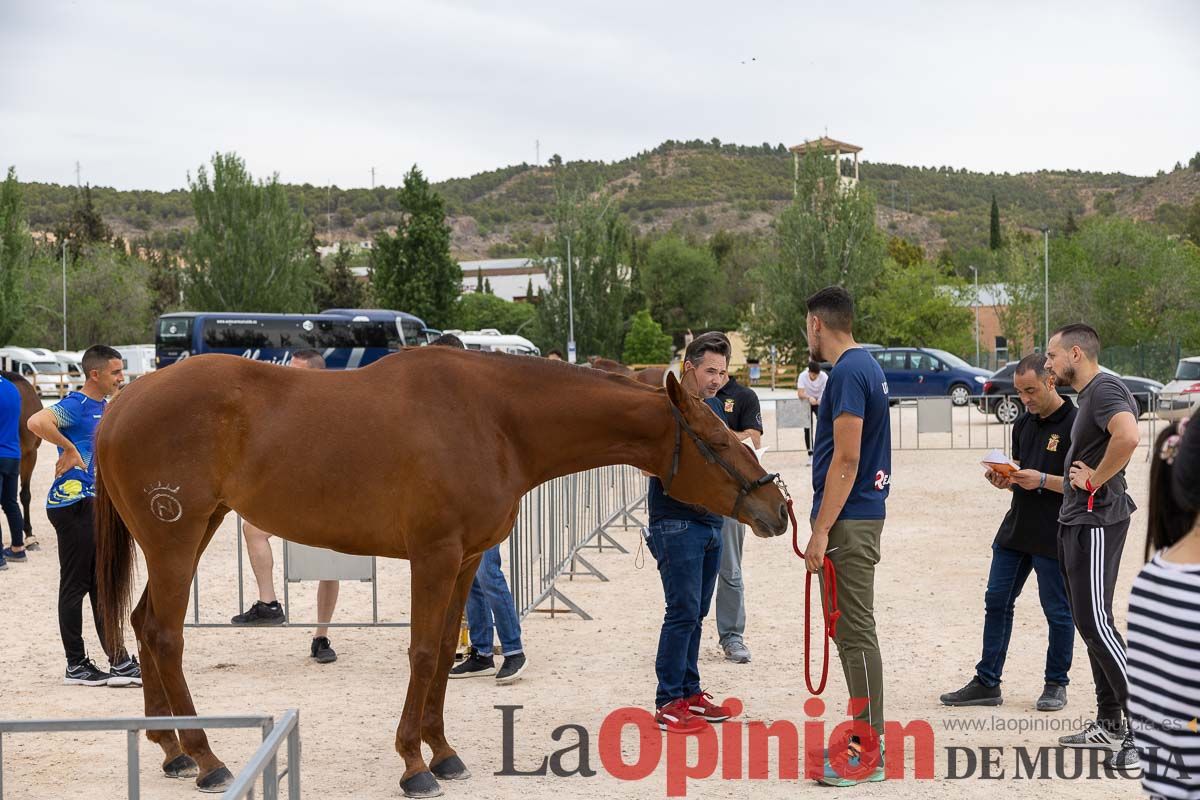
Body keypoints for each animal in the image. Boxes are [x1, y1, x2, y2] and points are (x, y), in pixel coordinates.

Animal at [93, 350, 787, 796]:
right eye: (719, 442)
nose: (776, 509)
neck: (495, 420)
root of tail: (123, 400)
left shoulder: (467, 560)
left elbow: (450, 647)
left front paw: (443, 752)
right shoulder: (434, 556)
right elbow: (426, 652)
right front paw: (412, 763)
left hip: (198, 529)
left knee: (143, 621)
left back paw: (171, 751)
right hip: (176, 537)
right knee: (164, 635)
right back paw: (206, 758)